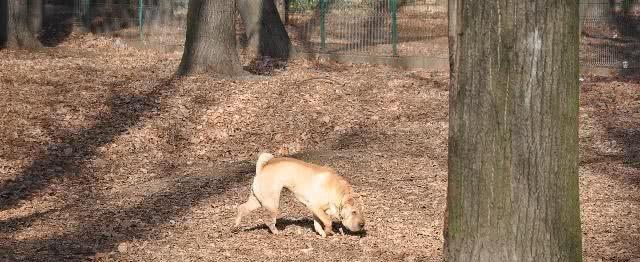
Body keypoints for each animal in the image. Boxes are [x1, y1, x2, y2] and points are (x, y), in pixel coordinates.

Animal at [234, 152, 364, 236]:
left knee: (241, 208)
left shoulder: (315, 209)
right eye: (354, 212)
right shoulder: (314, 206)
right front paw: (327, 232)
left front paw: (321, 233)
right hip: (272, 203)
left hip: (257, 200)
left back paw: (235, 227)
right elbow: (328, 221)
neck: (338, 193)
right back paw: (277, 232)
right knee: (269, 221)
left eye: (362, 211)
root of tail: (262, 167)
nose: (362, 224)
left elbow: (318, 223)